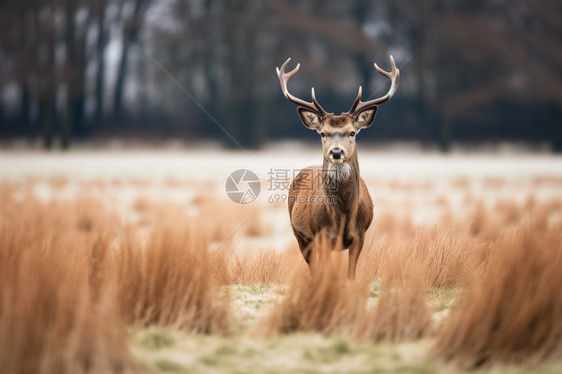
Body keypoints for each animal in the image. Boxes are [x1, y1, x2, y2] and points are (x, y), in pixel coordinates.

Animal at [276, 54, 398, 278]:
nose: (336, 152)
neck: (343, 216)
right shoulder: (320, 235)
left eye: (352, 132)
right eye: (323, 133)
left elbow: (350, 275)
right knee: (313, 267)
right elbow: (323, 273)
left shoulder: (360, 236)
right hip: (299, 234)